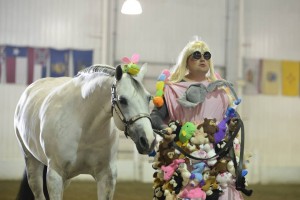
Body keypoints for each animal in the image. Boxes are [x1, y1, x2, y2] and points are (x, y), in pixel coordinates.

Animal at [14, 64, 155, 200]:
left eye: (148, 98)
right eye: (122, 100)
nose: (148, 140)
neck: (85, 126)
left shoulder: (107, 177)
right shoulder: (55, 176)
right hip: (32, 163)